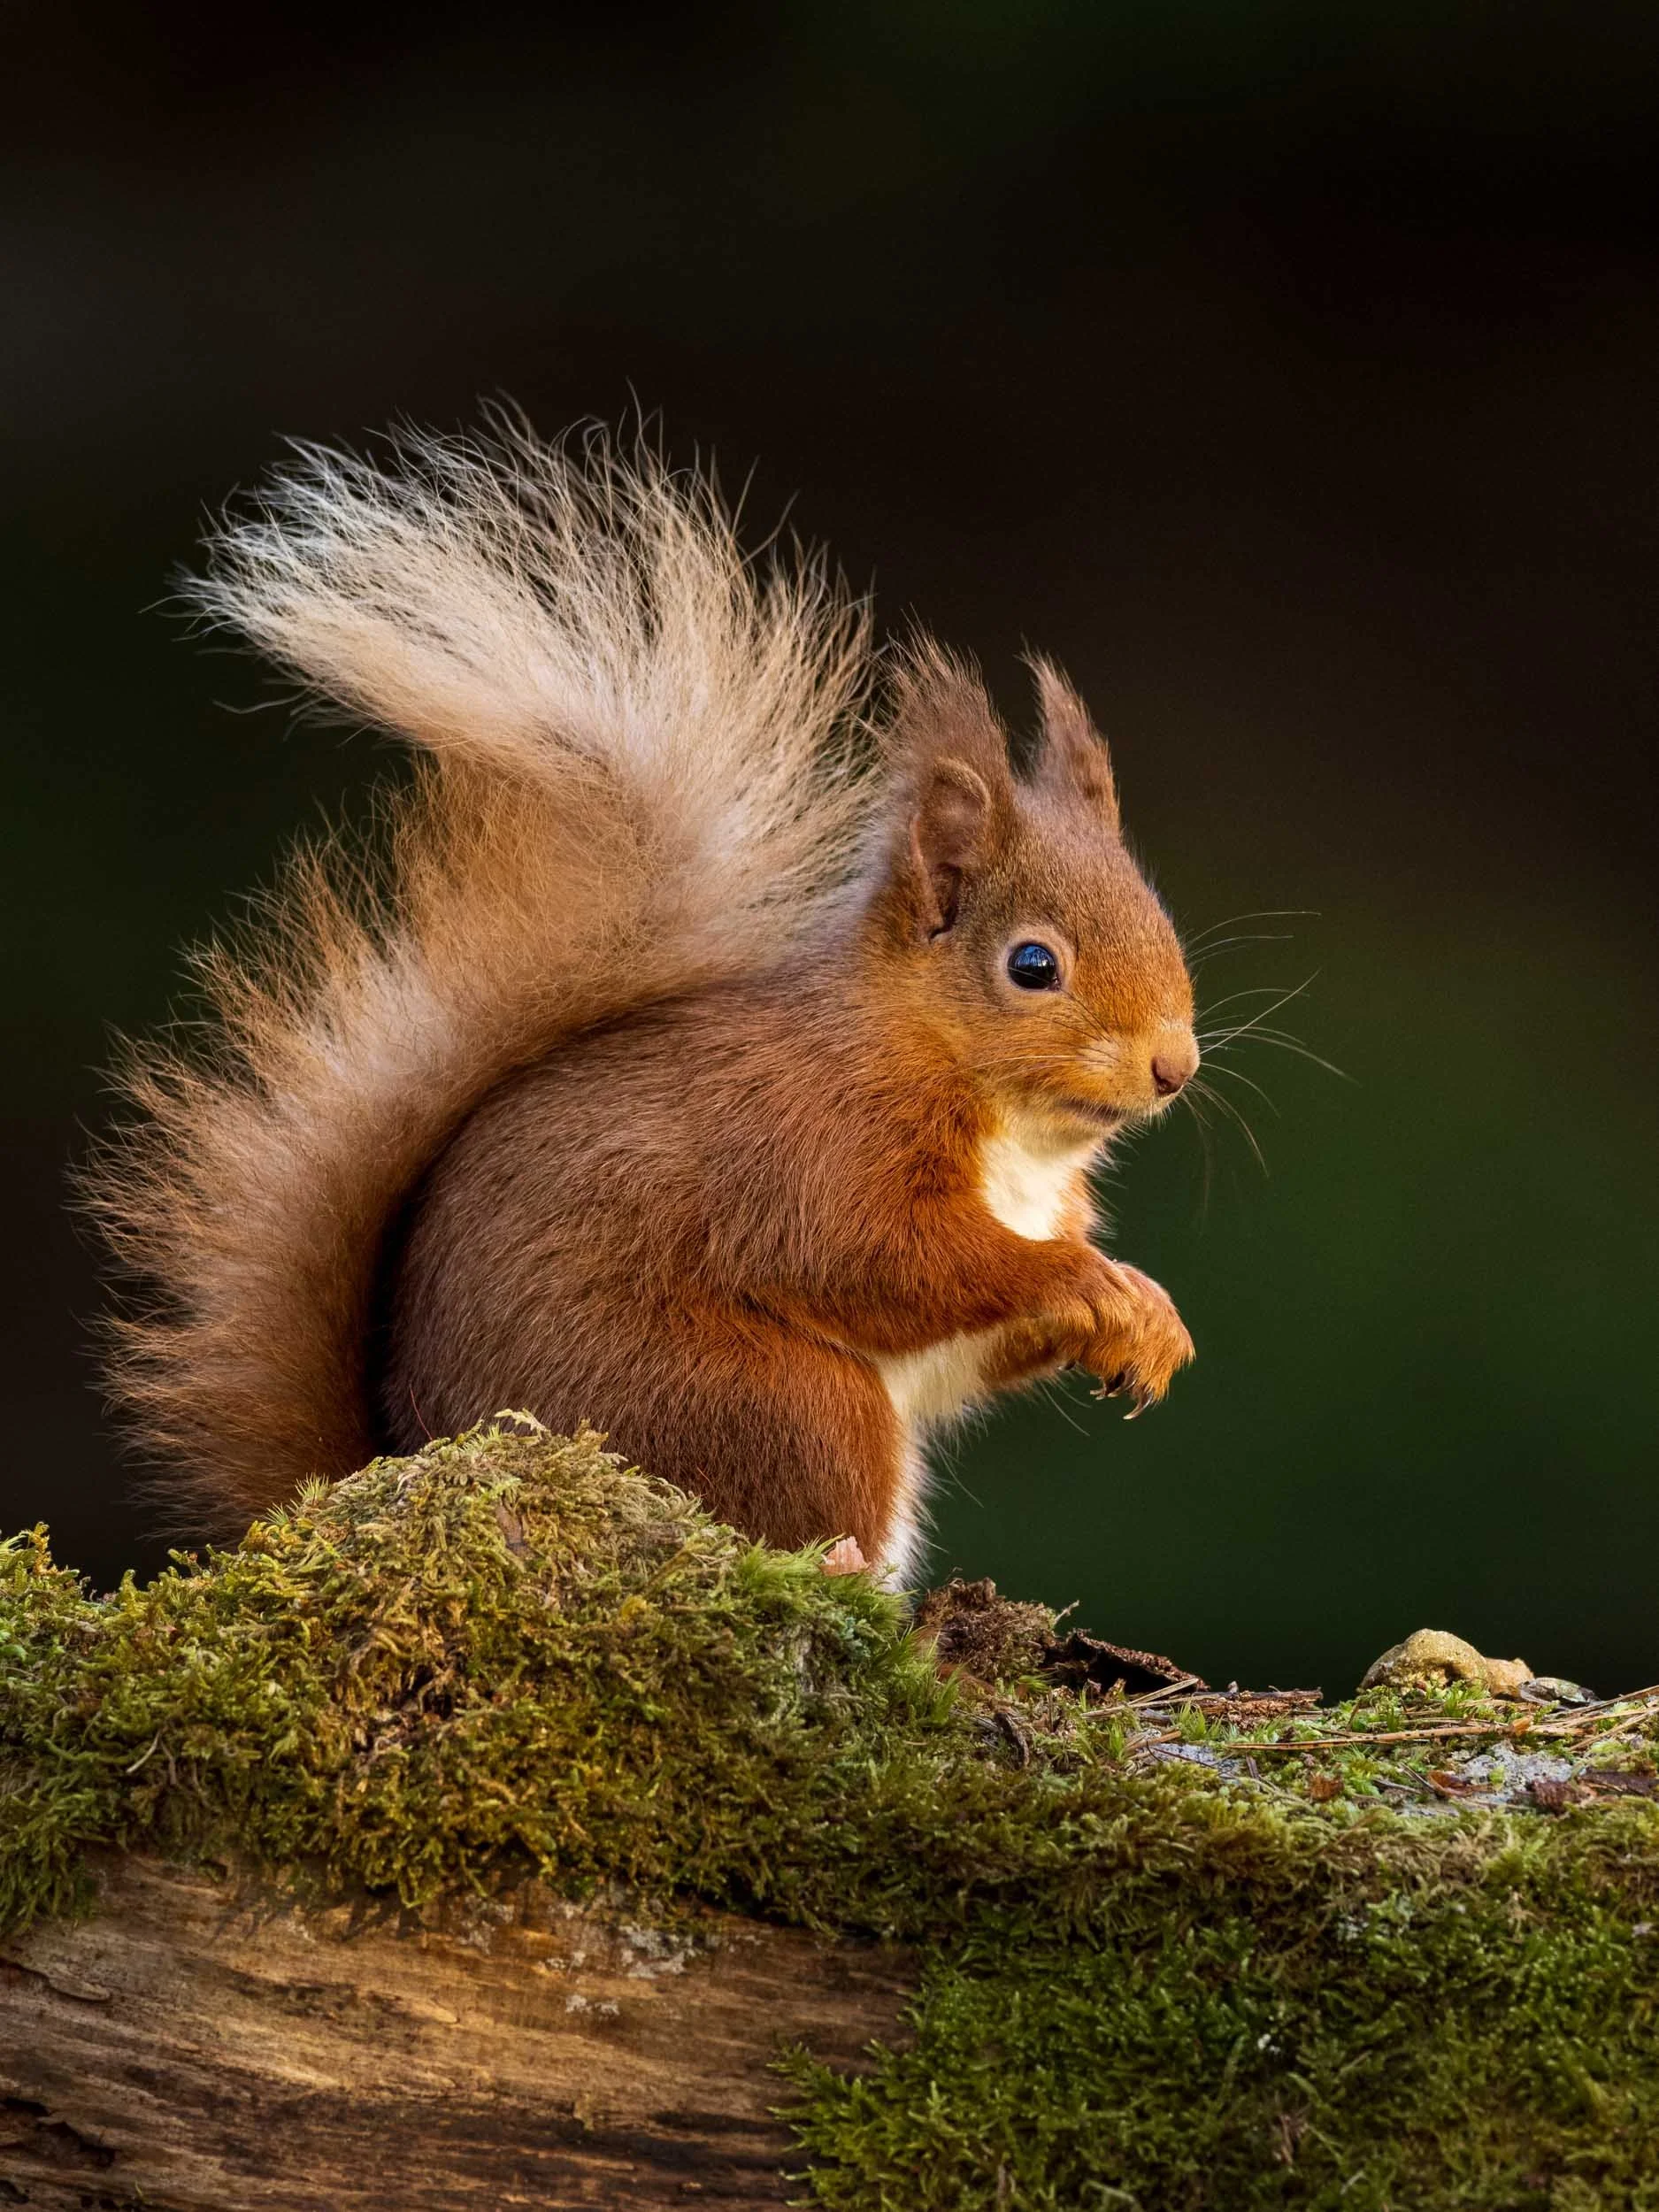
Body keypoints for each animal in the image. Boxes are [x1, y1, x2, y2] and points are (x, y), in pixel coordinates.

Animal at [89, 420, 1199, 1580]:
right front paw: (1079, 1278)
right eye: (1032, 965)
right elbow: (881, 1257)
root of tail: (409, 1456)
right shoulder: (817, 1142)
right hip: (772, 1406)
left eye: (1158, 913)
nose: (1175, 1066)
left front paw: (1148, 1318)